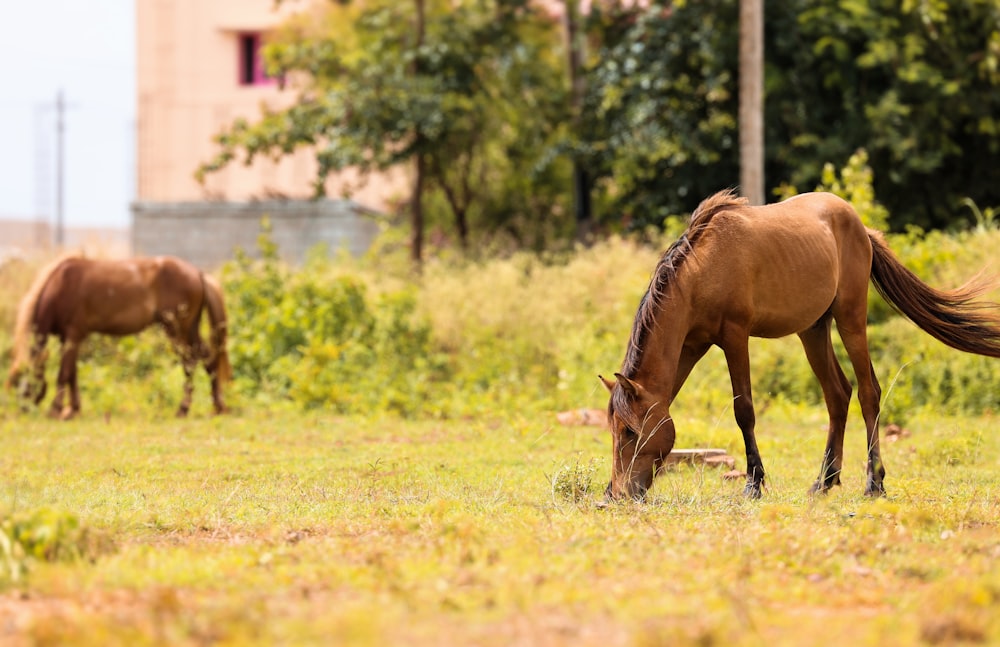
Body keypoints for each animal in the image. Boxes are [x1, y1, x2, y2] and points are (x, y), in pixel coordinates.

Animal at [7, 256, 230, 422]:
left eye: (24, 382)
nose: (21, 410)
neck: (60, 285)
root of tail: (197, 273)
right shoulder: (69, 339)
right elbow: (73, 375)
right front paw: (73, 409)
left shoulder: (72, 336)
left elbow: (64, 373)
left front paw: (56, 409)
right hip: (190, 329)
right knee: (208, 359)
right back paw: (217, 407)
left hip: (177, 330)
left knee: (190, 362)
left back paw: (183, 409)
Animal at [600, 190, 1000, 504]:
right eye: (614, 430)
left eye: (631, 431)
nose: (618, 494)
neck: (702, 269)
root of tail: (861, 228)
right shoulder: (692, 345)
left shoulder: (734, 337)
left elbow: (744, 410)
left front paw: (754, 484)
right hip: (813, 330)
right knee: (838, 394)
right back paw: (824, 482)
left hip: (850, 319)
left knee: (868, 392)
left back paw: (874, 483)